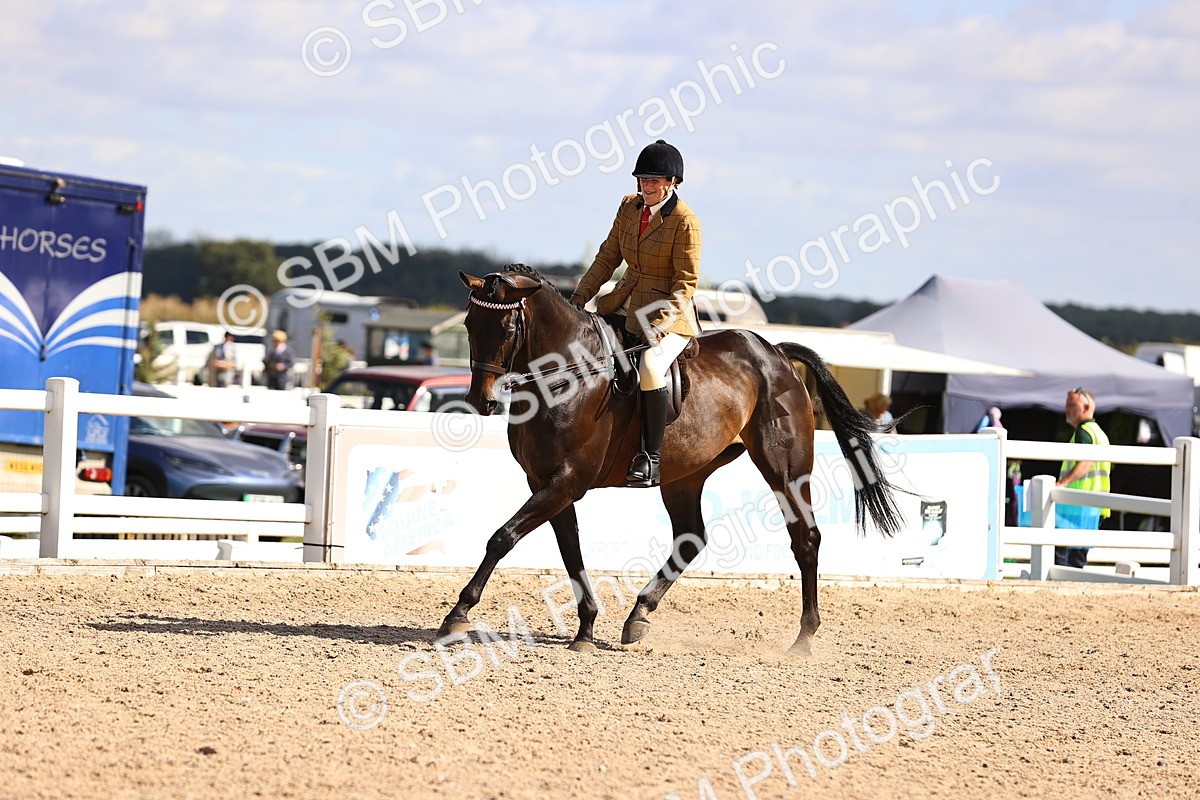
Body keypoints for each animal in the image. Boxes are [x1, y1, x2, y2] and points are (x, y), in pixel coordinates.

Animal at [439, 264, 904, 654]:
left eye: (505, 326)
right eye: (469, 324)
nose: (480, 402)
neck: (567, 375)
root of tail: (774, 352)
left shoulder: (567, 480)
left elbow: (502, 537)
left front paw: (457, 615)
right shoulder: (547, 483)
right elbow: (570, 551)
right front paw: (586, 629)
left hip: (785, 469)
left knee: (804, 538)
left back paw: (804, 638)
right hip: (685, 475)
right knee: (691, 536)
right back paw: (638, 615)